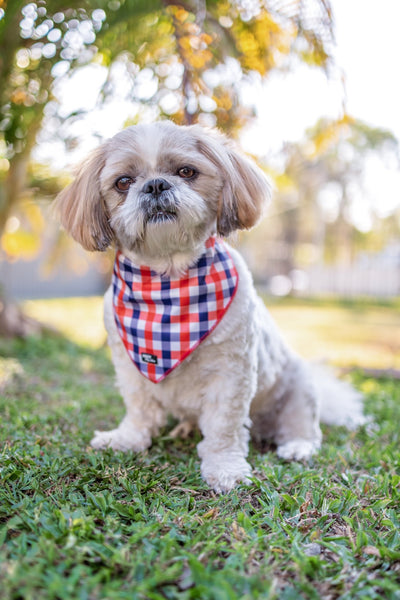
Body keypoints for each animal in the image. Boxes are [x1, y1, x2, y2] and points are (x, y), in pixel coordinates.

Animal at [55, 120, 366, 492]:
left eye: (186, 172)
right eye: (123, 182)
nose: (155, 185)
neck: (168, 285)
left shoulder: (230, 373)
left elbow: (222, 426)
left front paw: (224, 467)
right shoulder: (131, 365)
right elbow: (140, 409)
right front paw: (127, 439)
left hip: (299, 388)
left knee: (303, 427)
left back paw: (297, 446)